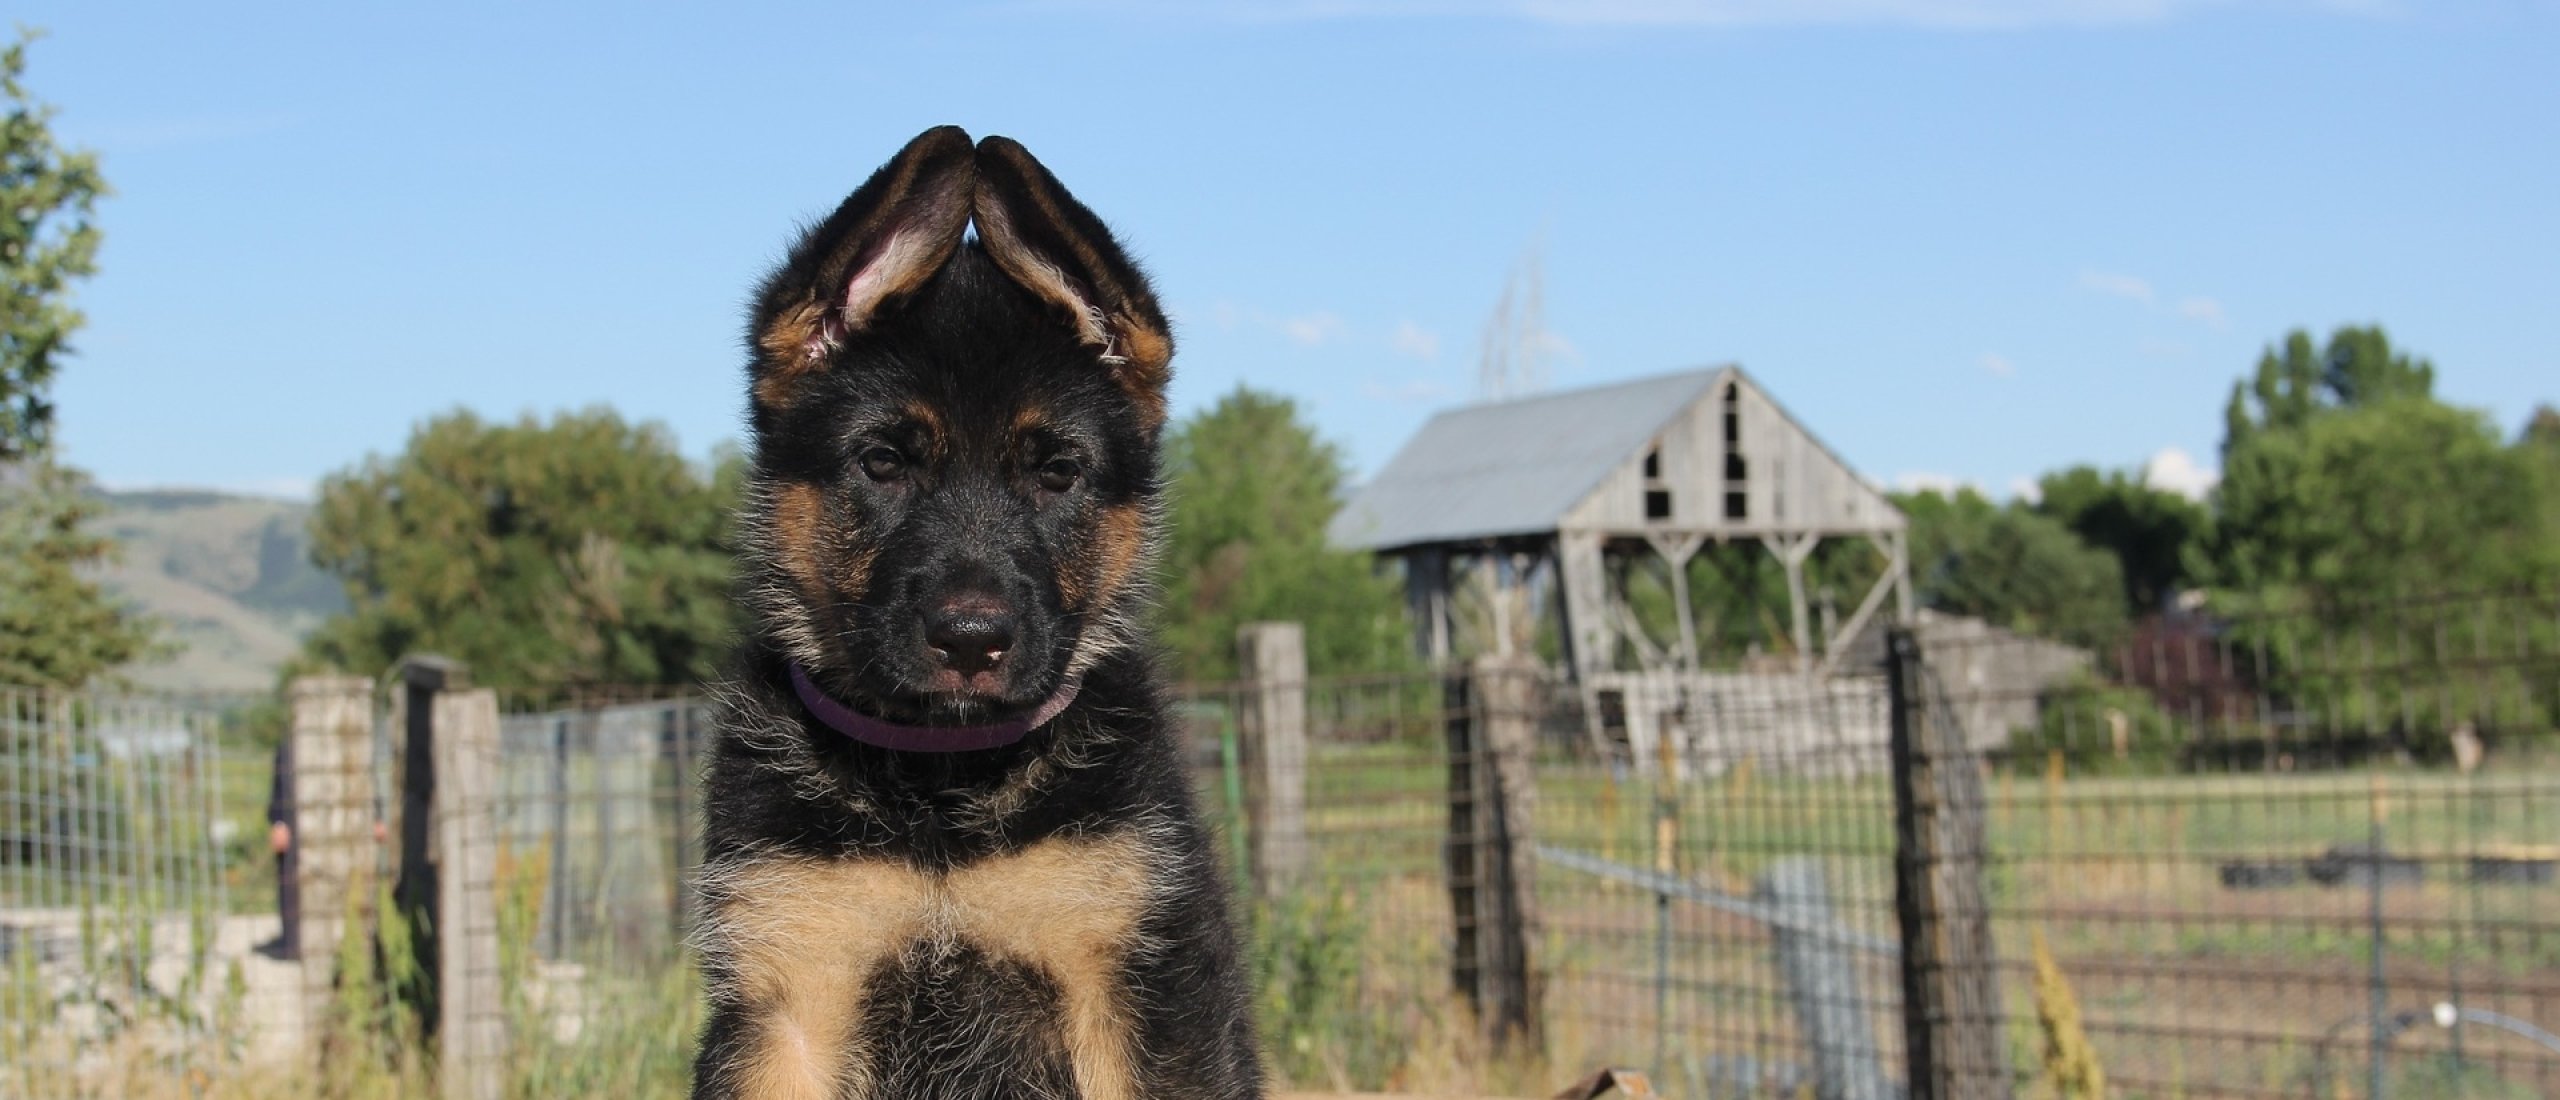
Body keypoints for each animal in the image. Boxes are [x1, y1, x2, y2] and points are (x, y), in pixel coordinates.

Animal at [696, 124, 1264, 1094]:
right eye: (884, 463)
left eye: (1056, 472)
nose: (971, 641)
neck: (942, 793)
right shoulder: (788, 999)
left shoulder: (1136, 994)